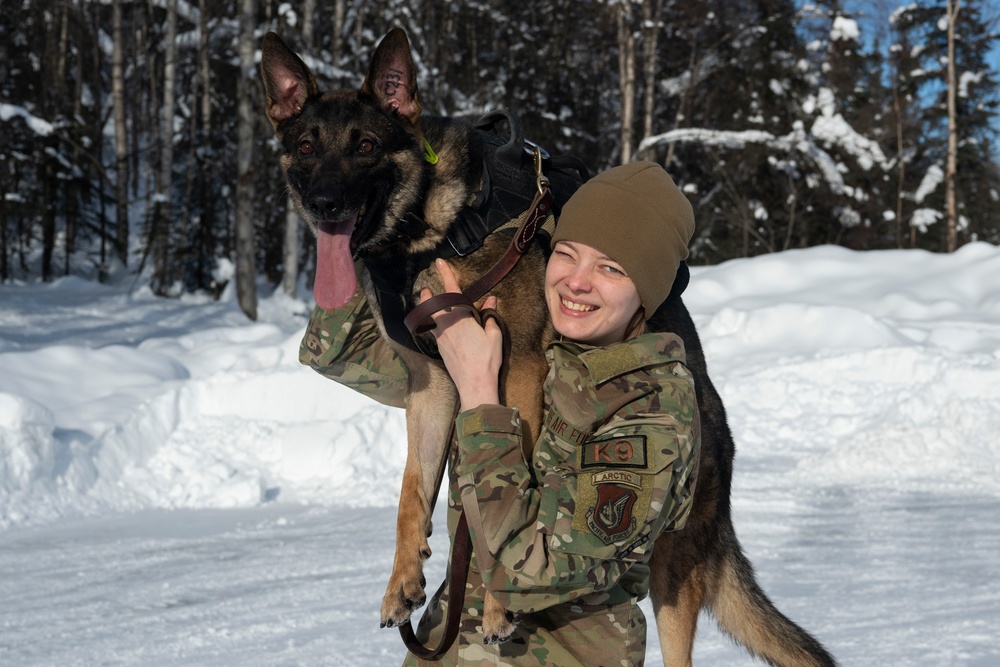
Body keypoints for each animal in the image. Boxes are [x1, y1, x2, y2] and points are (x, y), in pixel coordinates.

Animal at [260, 28, 836, 664]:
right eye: (306, 146)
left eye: (364, 145)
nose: (325, 204)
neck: (431, 228)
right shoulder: (432, 386)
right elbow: (412, 492)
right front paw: (401, 582)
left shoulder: (520, 370)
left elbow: (507, 501)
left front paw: (496, 608)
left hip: (673, 573)